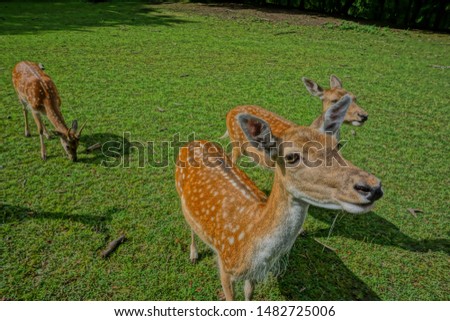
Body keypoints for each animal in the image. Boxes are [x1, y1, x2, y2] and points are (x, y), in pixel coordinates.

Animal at [176, 94, 384, 298]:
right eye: (291, 157)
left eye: (337, 145)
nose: (372, 187)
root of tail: (192, 143)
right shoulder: (224, 266)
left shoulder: (254, 275)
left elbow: (249, 292)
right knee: (190, 225)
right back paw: (193, 254)